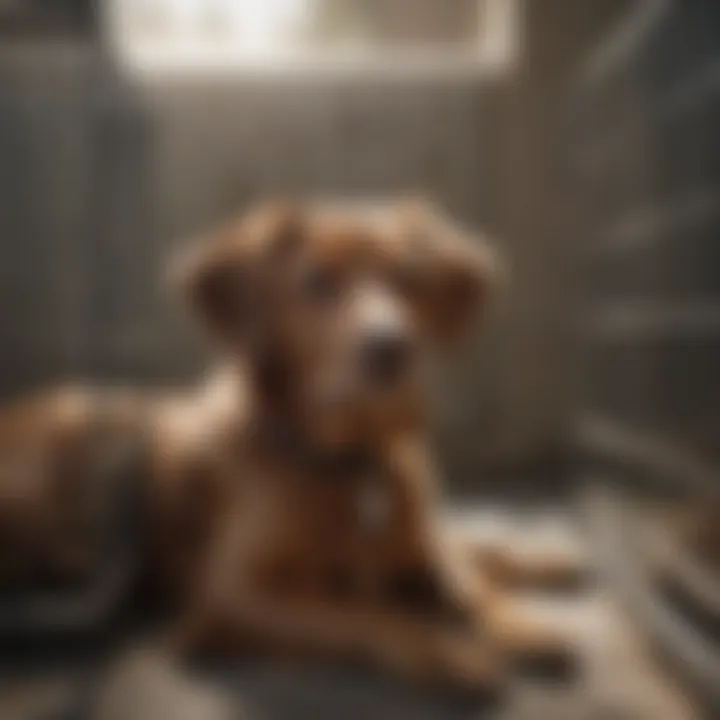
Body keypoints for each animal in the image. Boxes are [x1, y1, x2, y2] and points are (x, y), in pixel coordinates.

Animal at [0, 197, 580, 692]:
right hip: (91, 422)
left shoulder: (417, 541)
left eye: (409, 279)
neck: (348, 462)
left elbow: (467, 569)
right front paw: (447, 651)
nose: (391, 348)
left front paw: (519, 620)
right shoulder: (231, 594)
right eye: (317, 281)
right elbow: (363, 610)